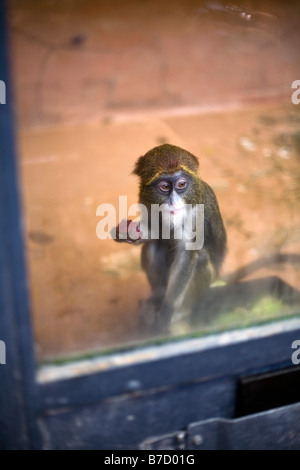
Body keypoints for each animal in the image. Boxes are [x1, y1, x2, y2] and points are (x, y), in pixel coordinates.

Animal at [113, 143, 226, 330]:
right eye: (165, 187)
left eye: (181, 184)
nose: (173, 202)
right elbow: (156, 234)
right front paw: (128, 234)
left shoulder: (196, 213)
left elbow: (186, 256)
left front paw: (168, 310)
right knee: (153, 247)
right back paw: (156, 297)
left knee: (201, 258)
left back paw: (182, 311)